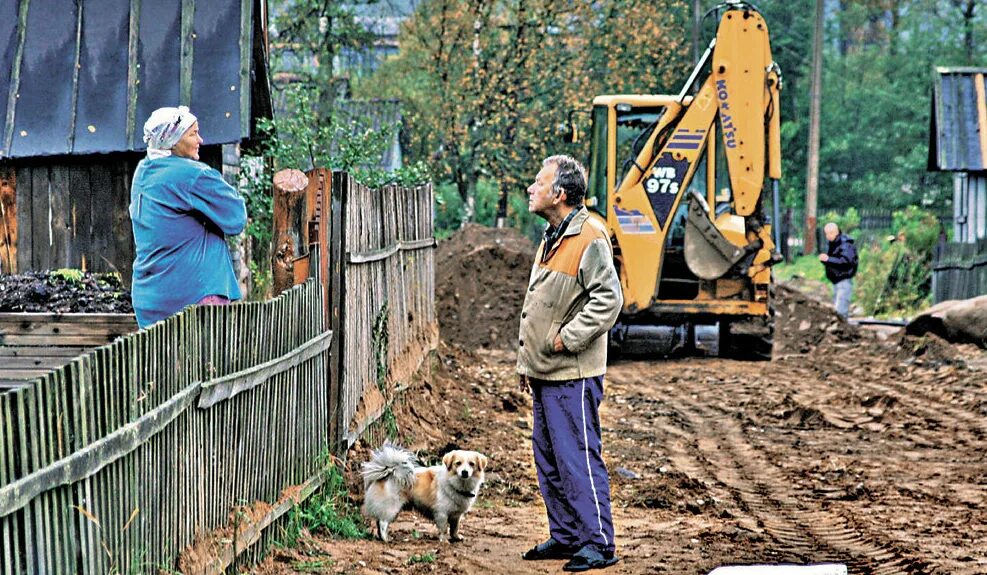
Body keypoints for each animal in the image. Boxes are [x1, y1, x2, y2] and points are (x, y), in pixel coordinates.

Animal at [360, 446, 488, 544]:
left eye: (471, 464)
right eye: (458, 463)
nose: (465, 472)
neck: (456, 484)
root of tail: (390, 472)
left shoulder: (456, 515)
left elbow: (454, 528)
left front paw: (456, 537)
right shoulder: (441, 513)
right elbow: (444, 529)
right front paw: (444, 540)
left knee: (379, 522)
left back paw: (382, 537)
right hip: (392, 507)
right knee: (383, 522)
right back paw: (386, 539)